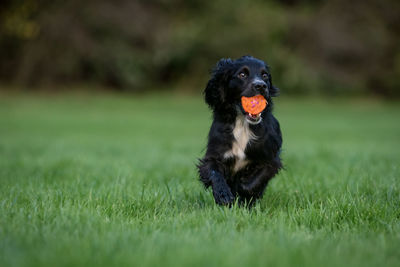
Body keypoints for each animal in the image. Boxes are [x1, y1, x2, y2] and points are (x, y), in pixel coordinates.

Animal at [197, 56, 282, 207]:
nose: (261, 86)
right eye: (242, 74)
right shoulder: (214, 155)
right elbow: (214, 171)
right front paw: (223, 195)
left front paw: (242, 191)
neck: (242, 123)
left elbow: (254, 181)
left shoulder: (271, 158)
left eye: (265, 75)